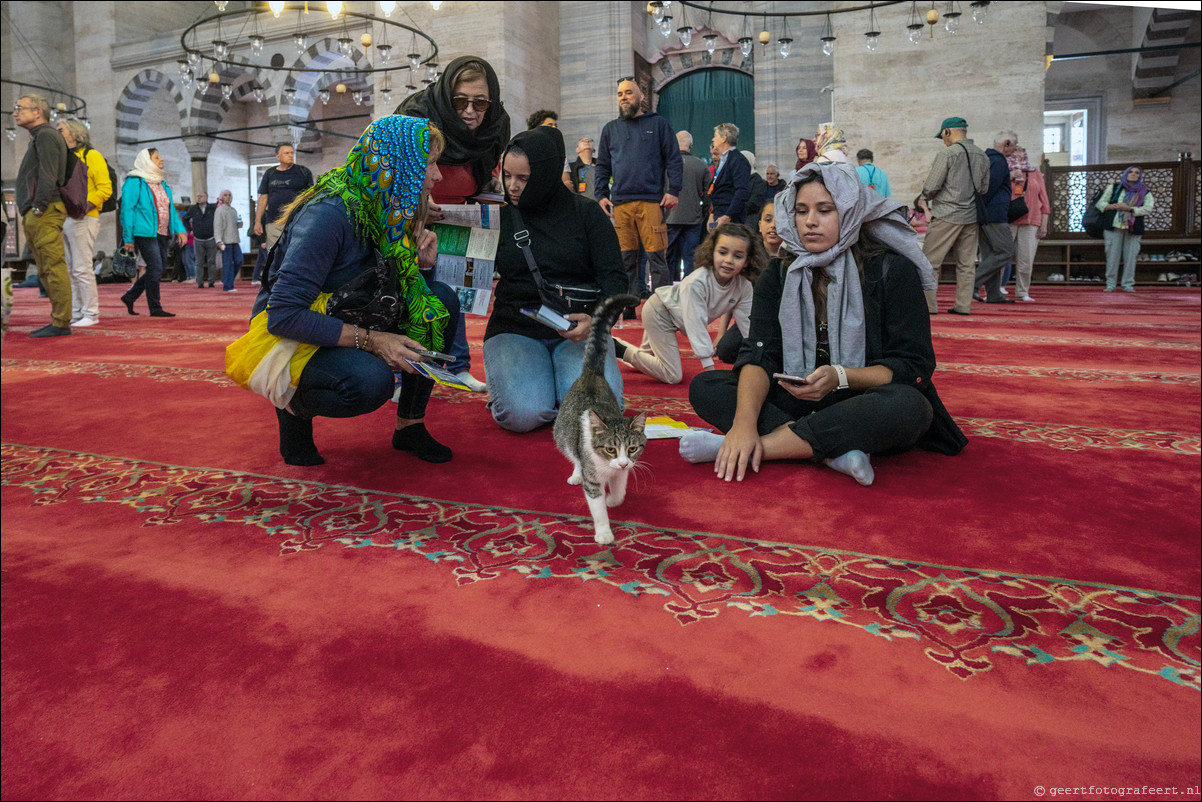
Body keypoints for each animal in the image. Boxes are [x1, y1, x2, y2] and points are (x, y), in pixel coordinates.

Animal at [552, 294, 649, 545]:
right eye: (610, 449)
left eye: (632, 448)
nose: (623, 462)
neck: (608, 467)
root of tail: (591, 374)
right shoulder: (593, 478)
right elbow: (597, 507)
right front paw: (604, 532)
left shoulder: (623, 471)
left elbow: (620, 489)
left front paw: (613, 499)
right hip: (564, 434)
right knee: (573, 454)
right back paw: (576, 474)